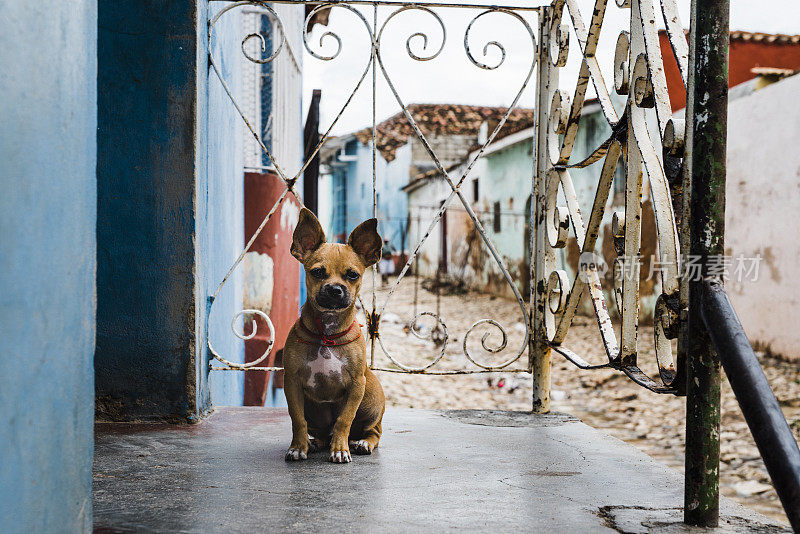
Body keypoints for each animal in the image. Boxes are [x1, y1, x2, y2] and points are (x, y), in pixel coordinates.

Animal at [282, 209, 386, 464]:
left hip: (371, 400)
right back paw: (315, 442)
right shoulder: (292, 383)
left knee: (374, 431)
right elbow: (297, 419)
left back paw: (361, 443)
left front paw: (340, 449)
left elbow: (344, 420)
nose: (335, 289)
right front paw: (297, 447)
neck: (326, 333)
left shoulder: (357, 385)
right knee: (319, 431)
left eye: (353, 275)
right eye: (317, 272)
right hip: (314, 410)